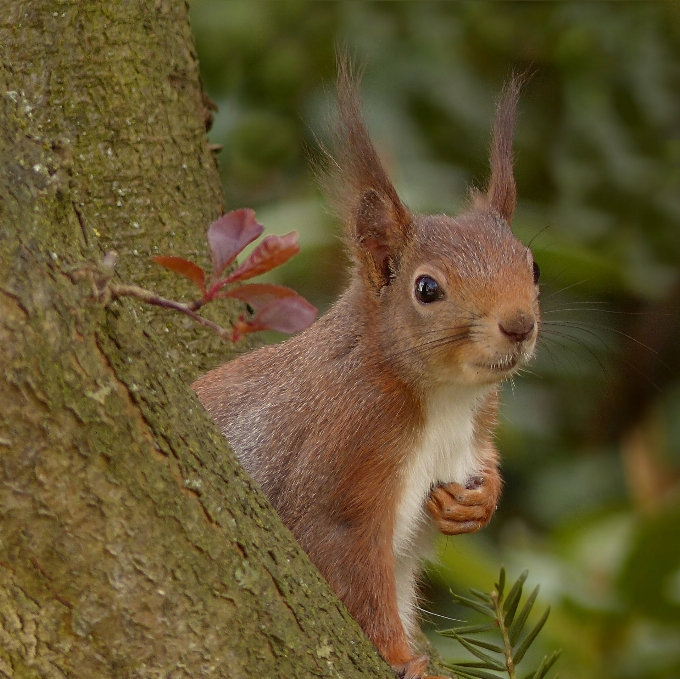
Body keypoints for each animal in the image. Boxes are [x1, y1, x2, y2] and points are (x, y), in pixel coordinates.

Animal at [194, 63, 540, 679]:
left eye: (535, 266)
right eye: (426, 289)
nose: (520, 325)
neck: (445, 396)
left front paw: (478, 501)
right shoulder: (347, 447)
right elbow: (345, 564)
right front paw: (404, 660)